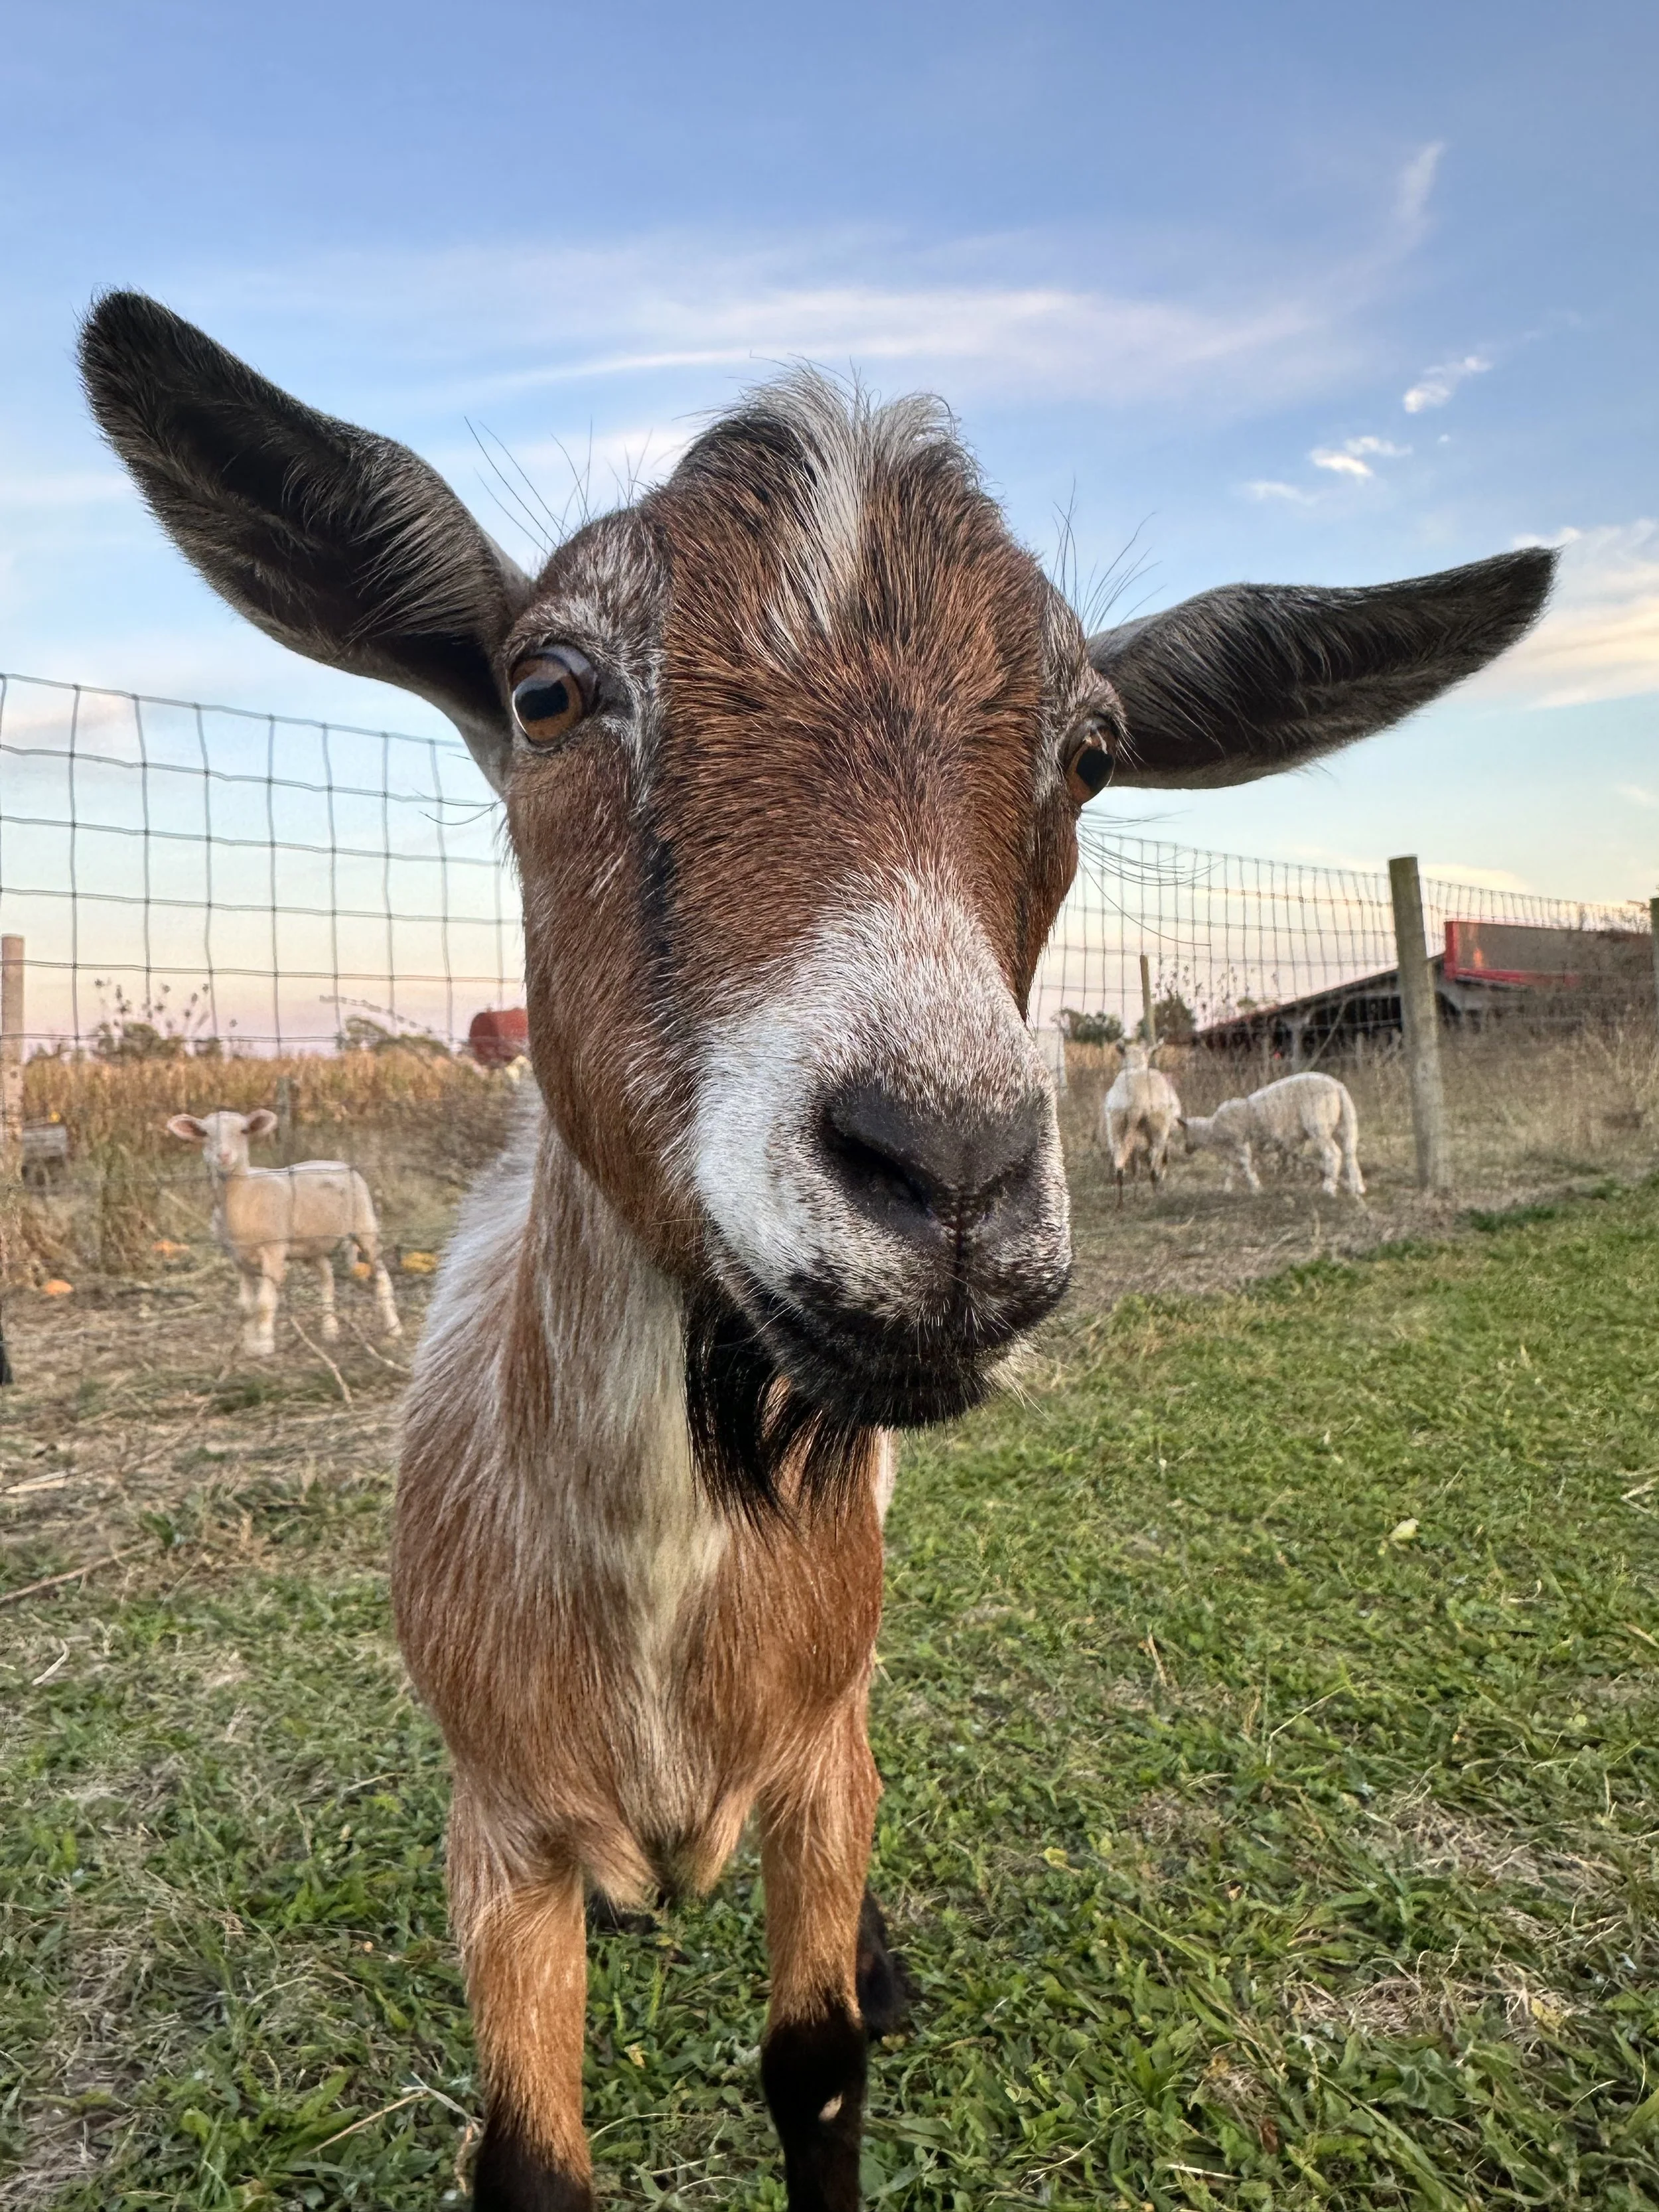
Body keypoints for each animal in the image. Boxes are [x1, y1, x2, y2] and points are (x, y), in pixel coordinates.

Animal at [166, 1107, 401, 1354]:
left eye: (243, 1131)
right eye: (205, 1133)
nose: (224, 1156)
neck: (243, 1195)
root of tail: (338, 1163)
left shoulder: (274, 1250)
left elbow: (264, 1303)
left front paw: (264, 1345)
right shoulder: (237, 1258)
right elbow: (246, 1305)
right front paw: (249, 1345)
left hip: (365, 1226)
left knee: (381, 1276)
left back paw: (393, 1329)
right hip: (312, 1245)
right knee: (327, 1278)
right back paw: (330, 1330)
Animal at [1100, 1043, 1182, 1204]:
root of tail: (1135, 1101)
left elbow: (1135, 1166)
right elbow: (1163, 1159)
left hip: (1115, 1127)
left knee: (1120, 1164)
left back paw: (1120, 1202)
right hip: (1157, 1129)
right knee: (1153, 1163)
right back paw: (1156, 1194)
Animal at [1181, 1070, 1365, 1196]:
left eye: (1185, 1134)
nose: (1186, 1151)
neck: (1213, 1129)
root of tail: (1338, 1087)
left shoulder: (1239, 1141)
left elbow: (1245, 1163)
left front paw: (1256, 1187)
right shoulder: (1233, 1146)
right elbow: (1230, 1168)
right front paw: (1227, 1188)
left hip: (1319, 1125)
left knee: (1334, 1154)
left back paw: (1328, 1188)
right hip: (1346, 1123)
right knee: (1350, 1153)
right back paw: (1358, 1188)